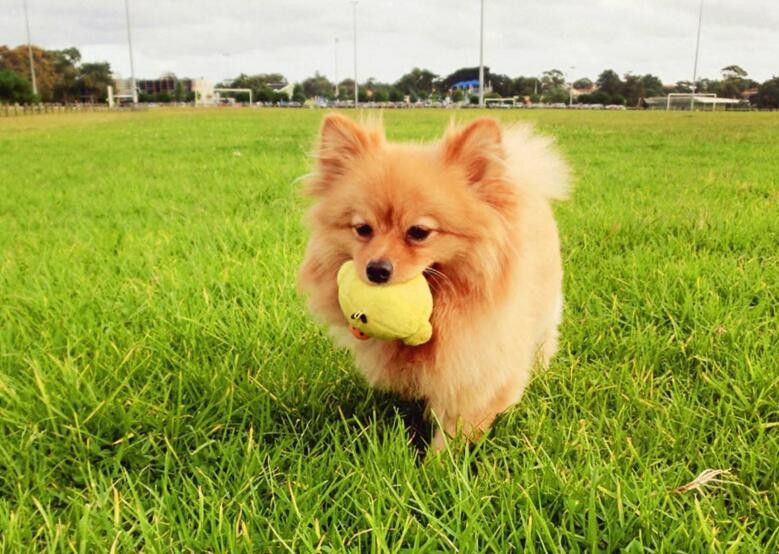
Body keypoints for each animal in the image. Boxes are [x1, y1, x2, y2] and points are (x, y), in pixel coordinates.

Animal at [298, 113, 572, 448]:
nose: (376, 270)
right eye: (362, 229)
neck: (440, 311)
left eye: (419, 232)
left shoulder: (479, 375)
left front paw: (437, 462)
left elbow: (455, 431)